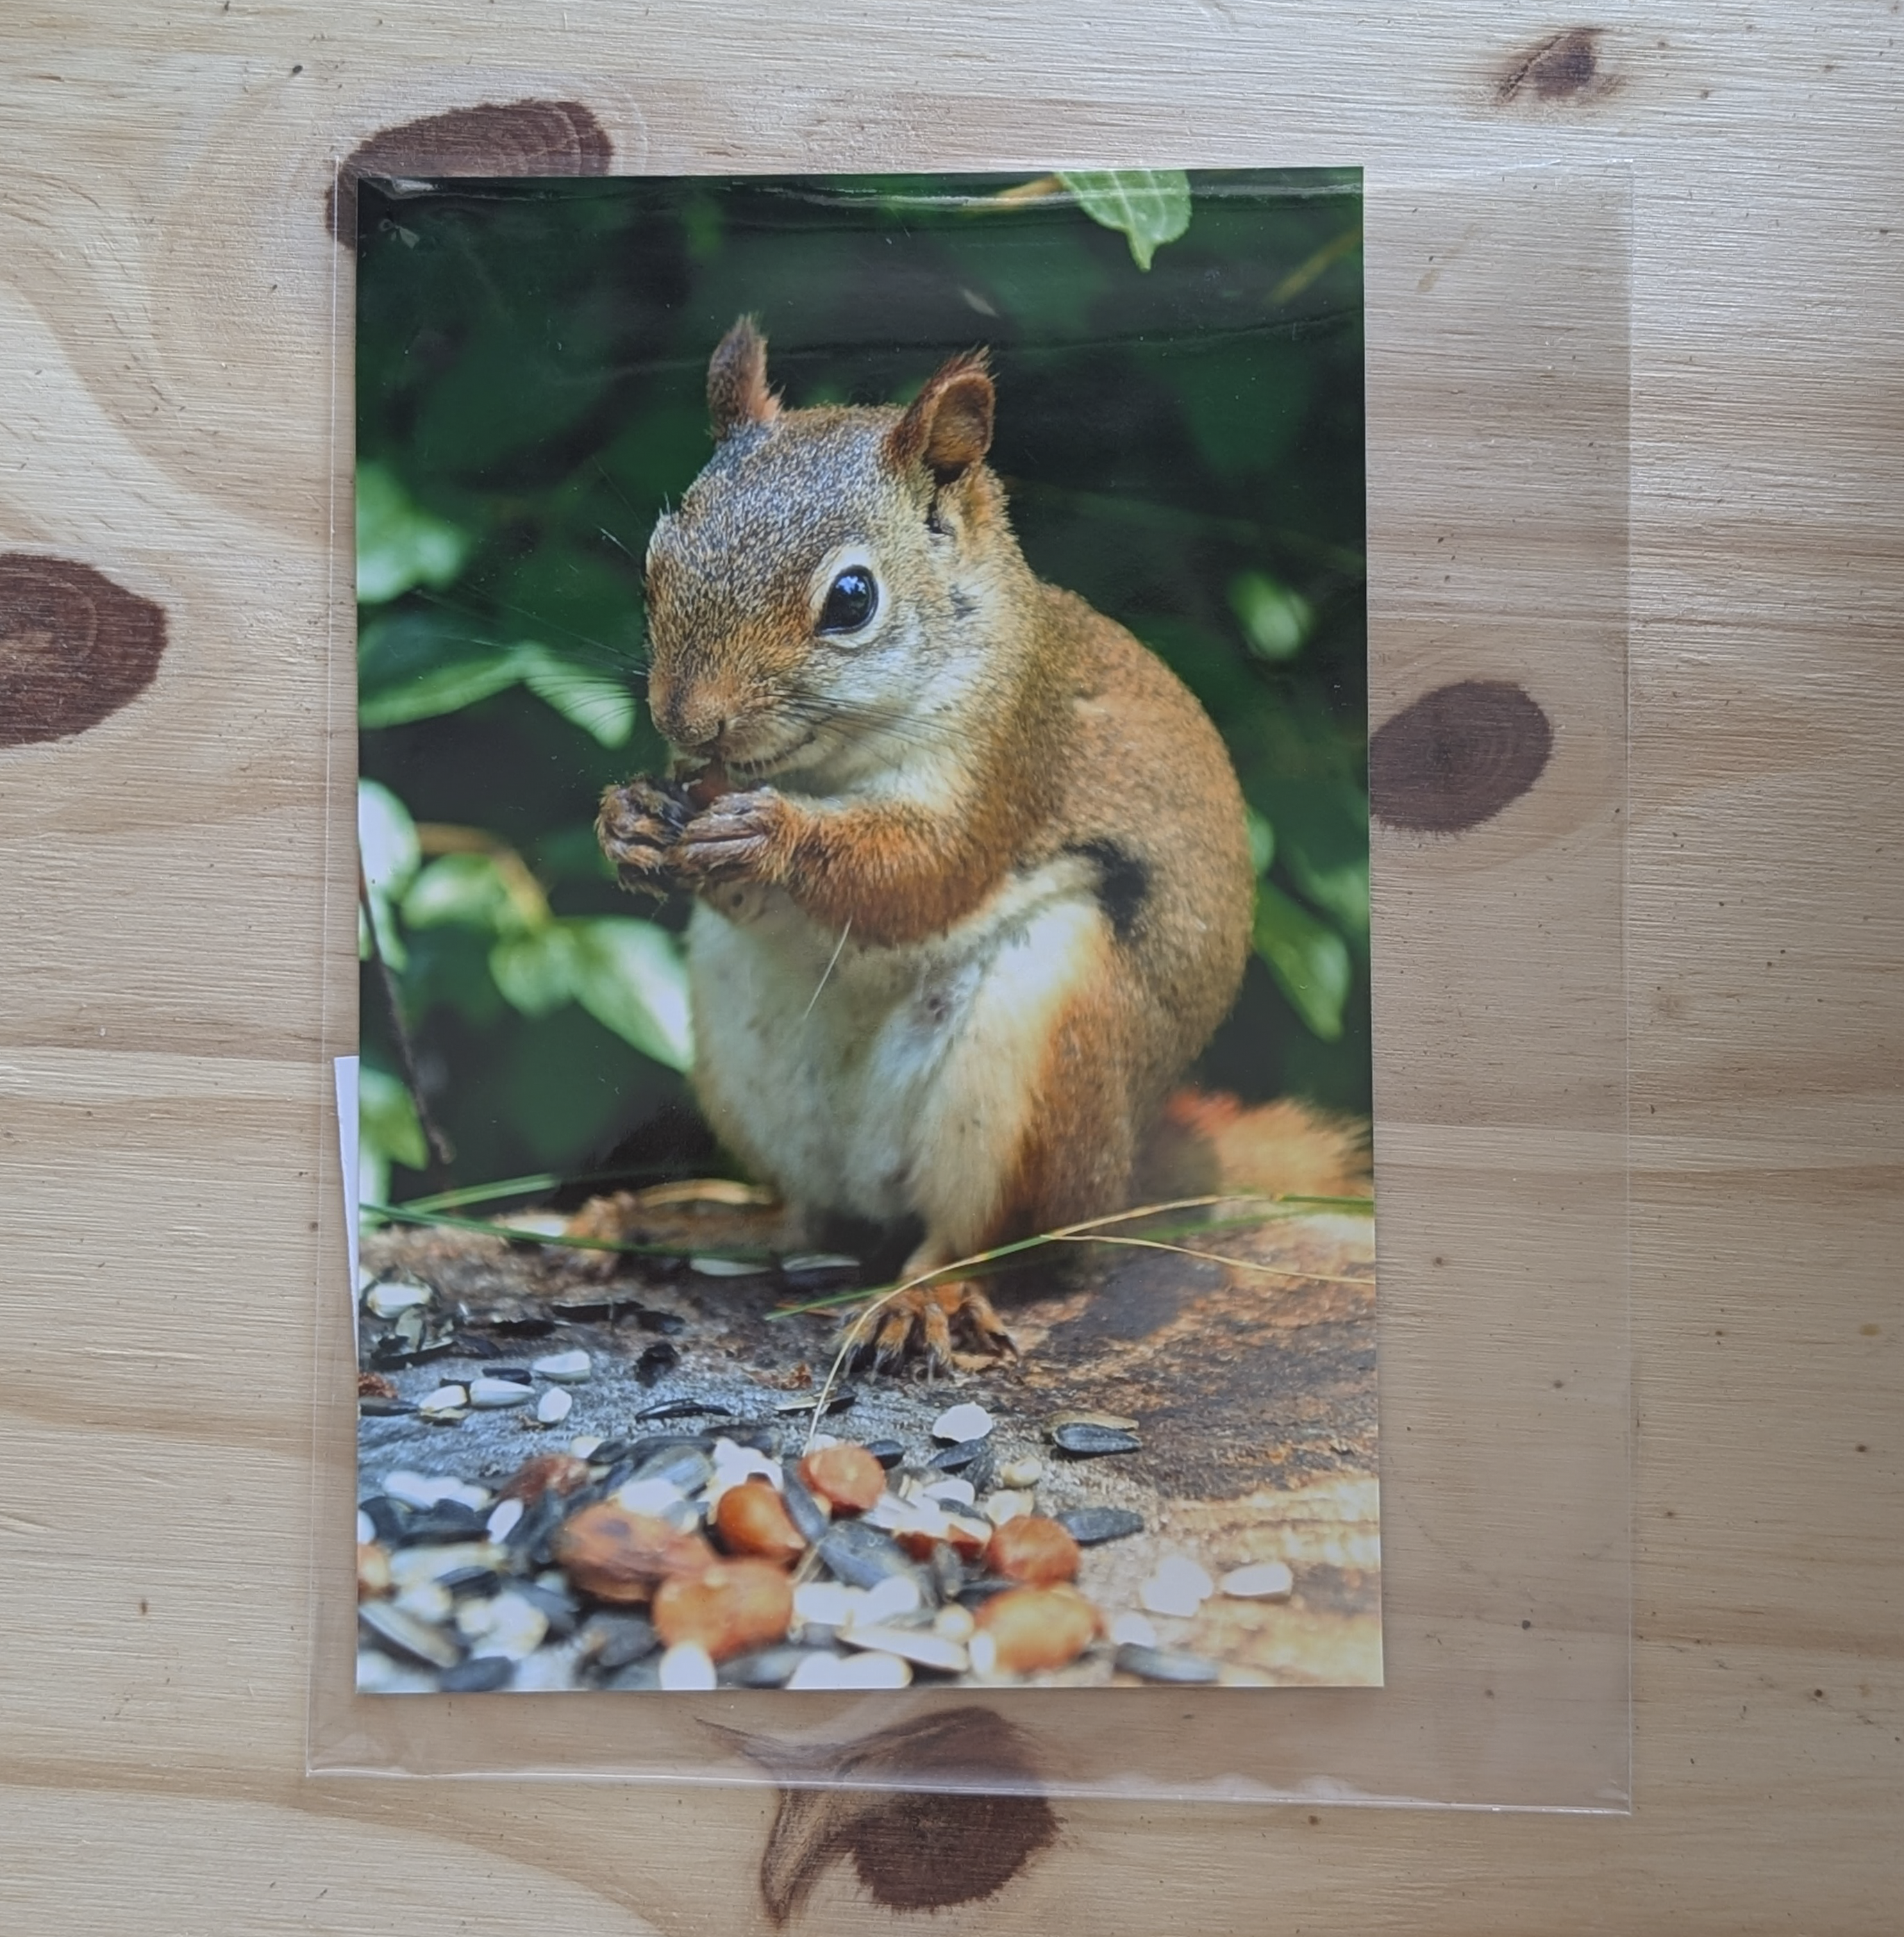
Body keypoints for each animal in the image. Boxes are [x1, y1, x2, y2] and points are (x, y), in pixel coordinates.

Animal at [596, 318, 1256, 1372]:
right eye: (658, 561)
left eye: (851, 599)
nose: (688, 721)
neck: (829, 768)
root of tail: (1117, 1187)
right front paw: (628, 819)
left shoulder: (1011, 758)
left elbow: (923, 877)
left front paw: (771, 831)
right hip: (745, 1057)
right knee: (816, 1220)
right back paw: (702, 1222)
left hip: (1037, 1056)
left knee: (986, 1242)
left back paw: (921, 1297)